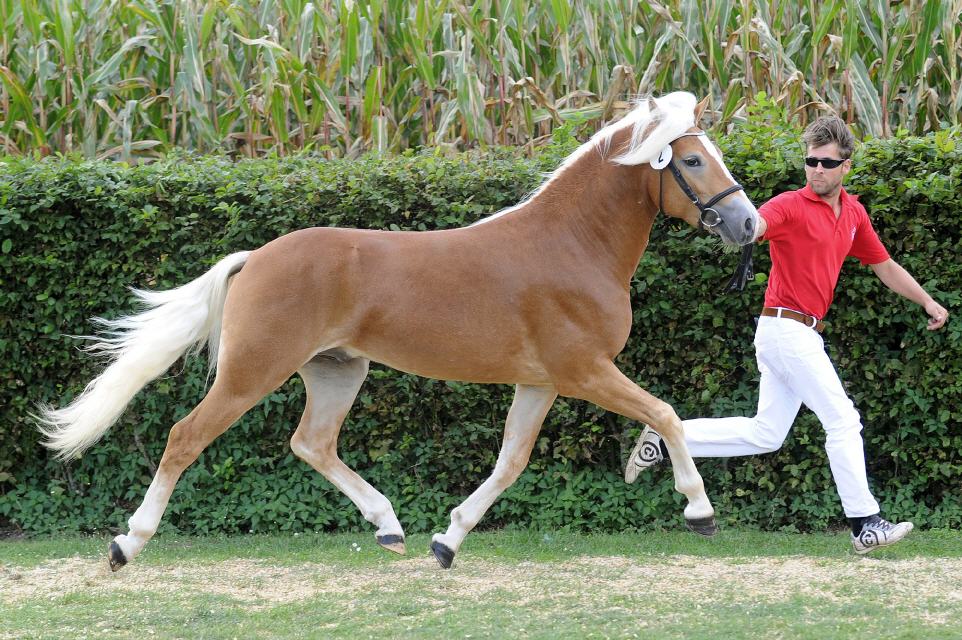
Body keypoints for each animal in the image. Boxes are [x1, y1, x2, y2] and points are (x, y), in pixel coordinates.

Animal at [37, 90, 756, 568]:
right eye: (693, 162)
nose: (748, 224)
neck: (569, 246)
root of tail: (256, 258)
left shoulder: (542, 382)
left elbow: (510, 461)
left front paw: (447, 541)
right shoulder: (585, 371)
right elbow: (664, 414)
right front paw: (700, 511)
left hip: (337, 371)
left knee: (312, 443)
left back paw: (389, 526)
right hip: (252, 373)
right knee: (186, 436)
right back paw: (126, 544)